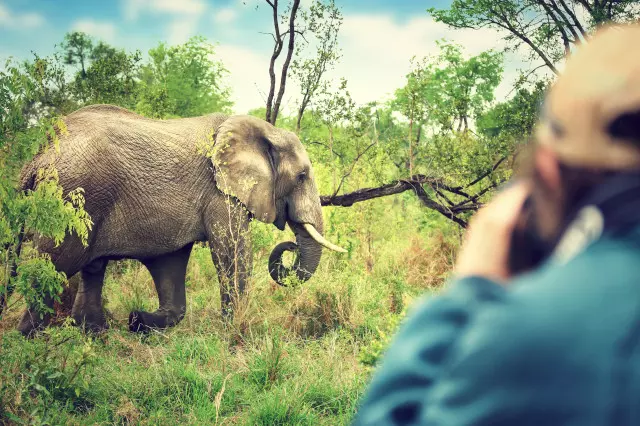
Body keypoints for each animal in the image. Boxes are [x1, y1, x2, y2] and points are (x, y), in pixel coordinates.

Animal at [12, 104, 345, 336]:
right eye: (302, 176)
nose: (291, 245)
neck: (265, 130)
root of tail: (39, 155)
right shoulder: (219, 191)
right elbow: (232, 251)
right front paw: (234, 330)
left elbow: (170, 267)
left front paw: (138, 320)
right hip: (71, 198)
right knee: (53, 268)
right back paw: (27, 339)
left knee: (92, 268)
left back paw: (93, 334)